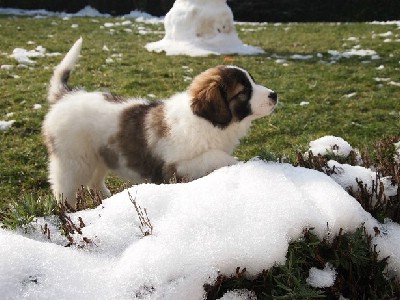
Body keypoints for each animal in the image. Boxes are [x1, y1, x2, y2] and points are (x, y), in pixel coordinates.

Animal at [42, 38, 276, 206]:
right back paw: (70, 213)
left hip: (99, 155)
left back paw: (107, 201)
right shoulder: (175, 167)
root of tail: (66, 96)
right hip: (73, 162)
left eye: (253, 81)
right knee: (65, 190)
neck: (208, 122)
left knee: (94, 182)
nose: (274, 95)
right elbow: (215, 155)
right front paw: (237, 163)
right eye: (243, 92)